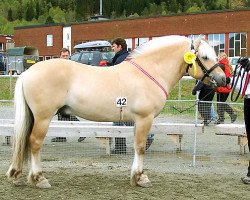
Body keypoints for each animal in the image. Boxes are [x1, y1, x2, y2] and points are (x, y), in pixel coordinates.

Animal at [5, 35, 226, 188]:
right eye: (205, 57)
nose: (224, 79)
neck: (149, 72)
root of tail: (28, 72)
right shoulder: (144, 119)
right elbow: (140, 147)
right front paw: (140, 178)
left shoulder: (137, 121)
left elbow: (138, 146)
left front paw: (136, 176)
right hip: (43, 117)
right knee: (34, 143)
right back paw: (39, 179)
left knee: (26, 142)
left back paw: (18, 176)